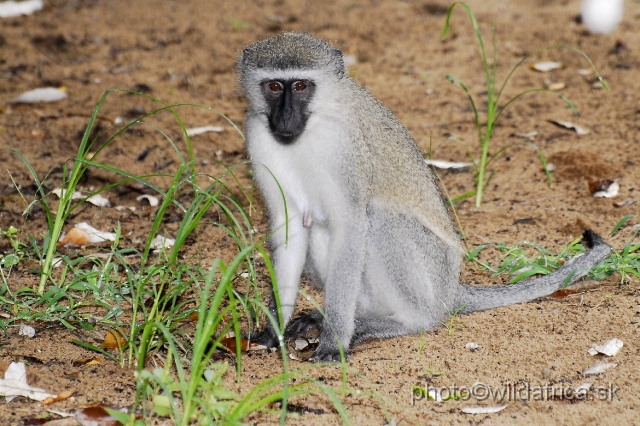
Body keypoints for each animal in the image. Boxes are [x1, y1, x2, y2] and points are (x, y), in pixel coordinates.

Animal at [238, 31, 612, 362]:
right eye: (274, 87)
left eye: (301, 86)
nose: (285, 118)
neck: (310, 129)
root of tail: (450, 289)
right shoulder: (259, 136)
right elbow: (290, 226)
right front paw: (273, 331)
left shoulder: (344, 147)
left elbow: (351, 225)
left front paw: (334, 342)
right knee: (315, 224)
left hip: (431, 274)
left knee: (377, 221)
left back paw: (405, 321)